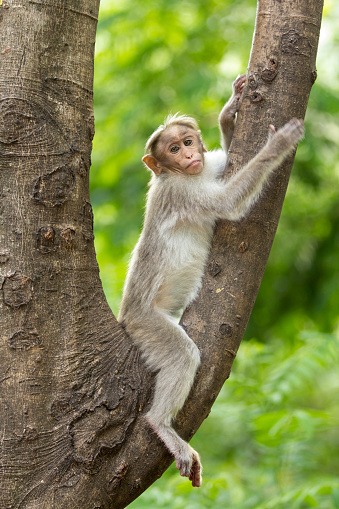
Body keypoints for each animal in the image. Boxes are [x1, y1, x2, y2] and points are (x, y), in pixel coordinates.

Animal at [118, 73, 304, 486]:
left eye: (188, 142)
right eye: (172, 148)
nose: (189, 156)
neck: (183, 174)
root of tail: (125, 318)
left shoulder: (208, 167)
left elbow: (228, 159)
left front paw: (230, 112)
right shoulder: (181, 191)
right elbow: (228, 203)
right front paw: (277, 145)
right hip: (145, 324)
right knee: (183, 354)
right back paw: (161, 425)